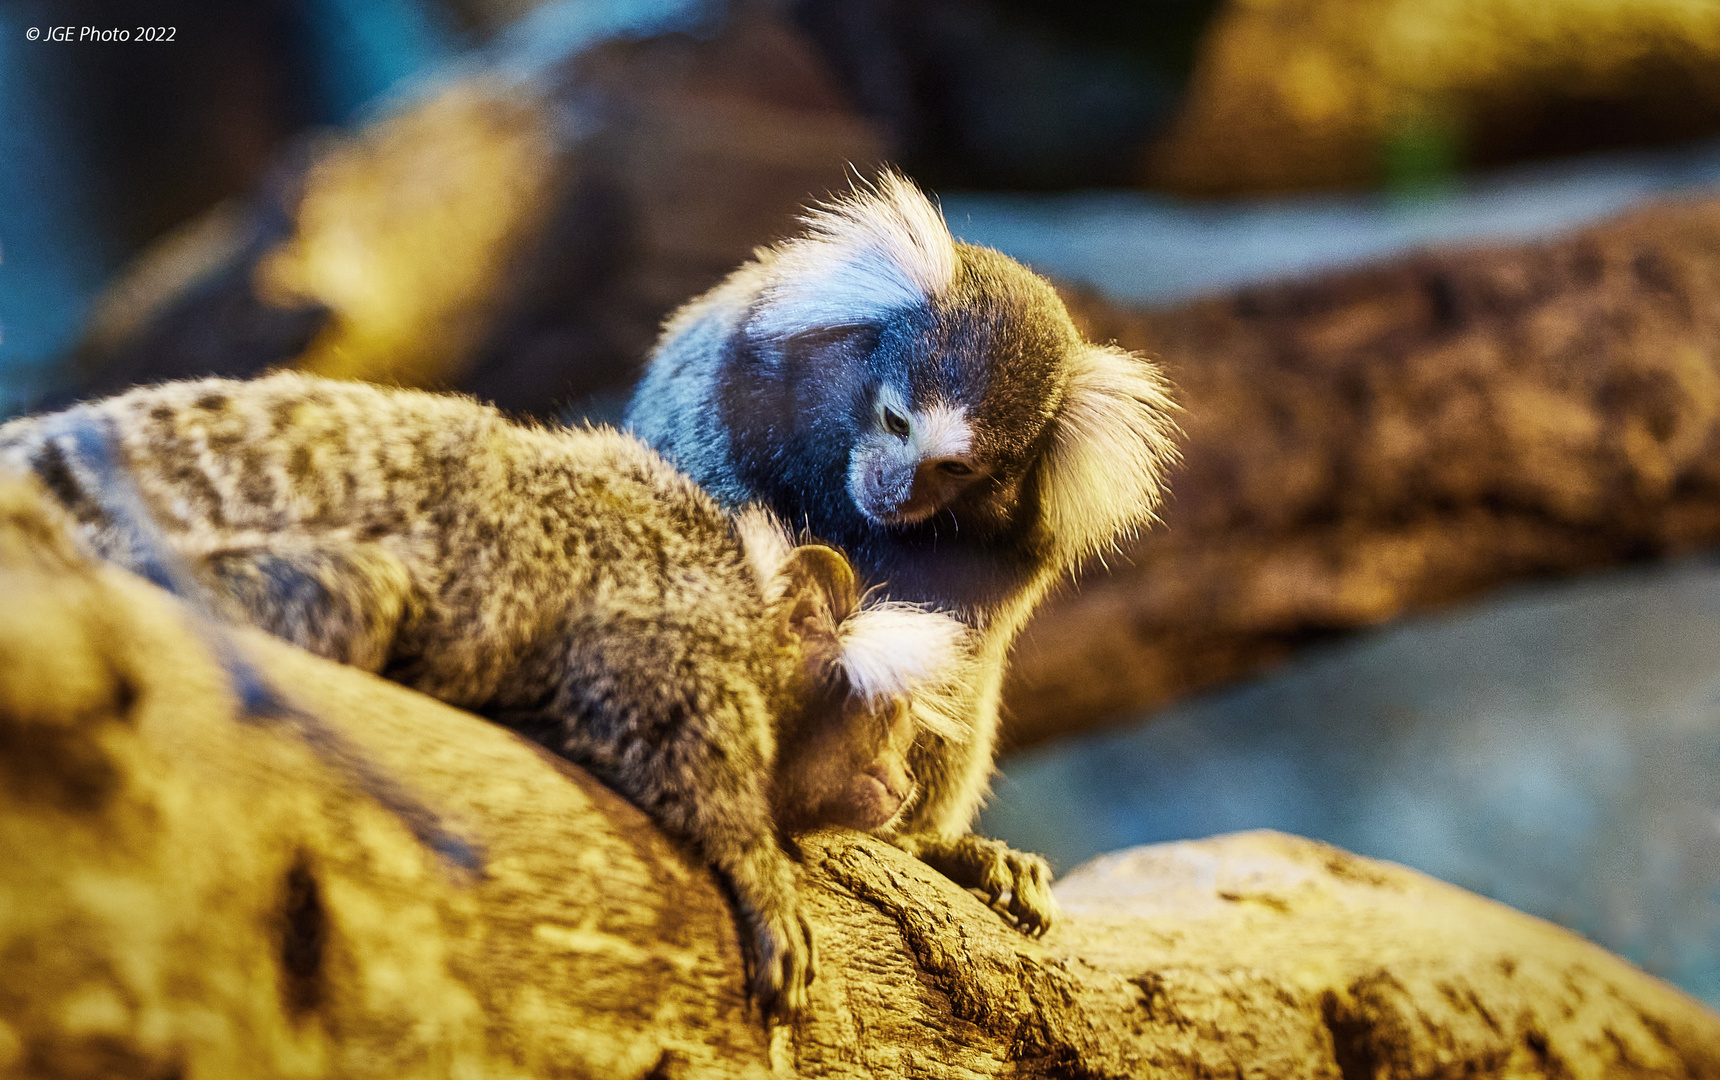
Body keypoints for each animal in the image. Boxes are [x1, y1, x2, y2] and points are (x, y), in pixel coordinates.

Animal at [0, 373, 970, 1018]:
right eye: (888, 722)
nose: (899, 779)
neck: (743, 595)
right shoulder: (671, 616)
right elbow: (650, 709)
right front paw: (758, 867)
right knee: (362, 592)